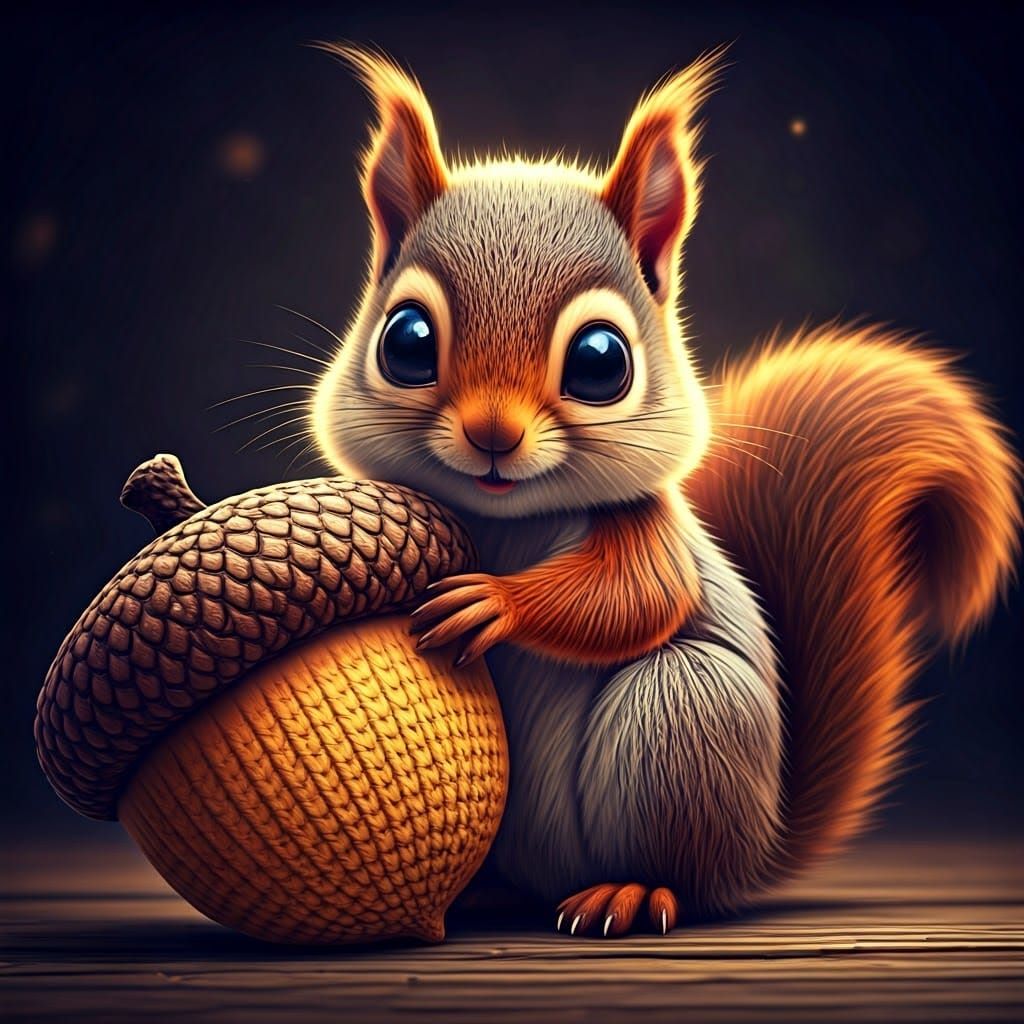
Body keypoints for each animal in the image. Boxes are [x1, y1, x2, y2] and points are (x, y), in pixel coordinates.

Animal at [310, 45, 1021, 936]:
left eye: (601, 361)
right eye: (405, 342)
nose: (492, 435)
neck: (509, 522)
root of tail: (757, 847)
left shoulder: (651, 530)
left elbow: (637, 596)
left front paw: (492, 602)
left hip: (684, 717)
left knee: (675, 853)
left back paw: (631, 891)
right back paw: (481, 895)